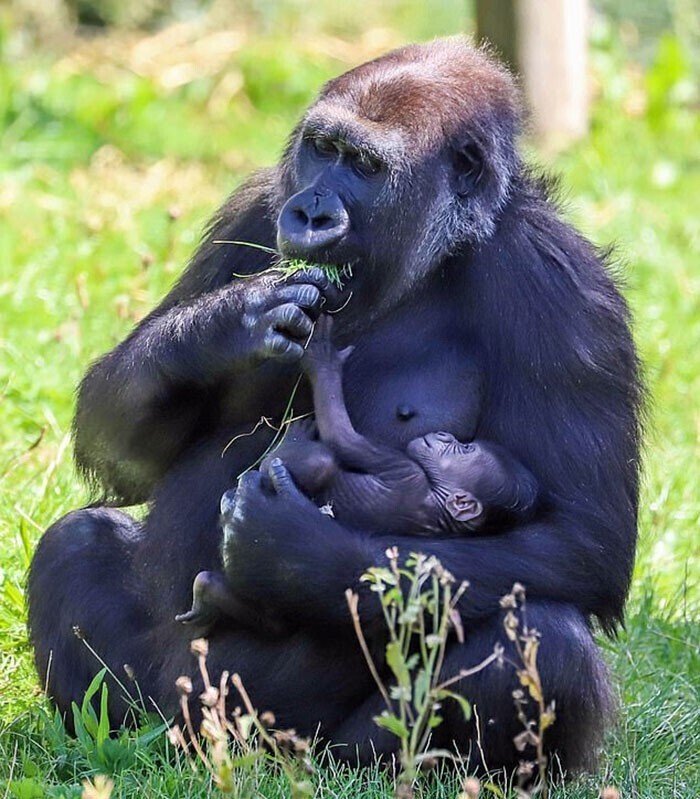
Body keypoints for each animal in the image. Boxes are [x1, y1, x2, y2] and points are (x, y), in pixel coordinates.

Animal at [178, 316, 540, 636]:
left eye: (464, 450)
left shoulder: (403, 468)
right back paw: (215, 597)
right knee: (272, 622)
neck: (438, 503)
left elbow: (342, 437)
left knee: (319, 461)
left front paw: (322, 361)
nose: (444, 436)